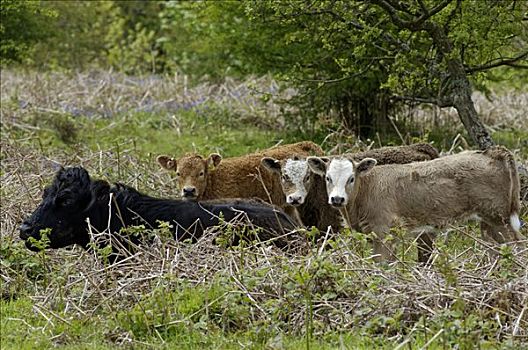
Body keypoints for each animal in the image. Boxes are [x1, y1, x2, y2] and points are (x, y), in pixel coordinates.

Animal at [308, 146, 520, 262]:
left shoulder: (383, 232)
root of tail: (491, 152)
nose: (337, 199)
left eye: (351, 178)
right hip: (489, 223)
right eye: (327, 178)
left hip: (500, 219)